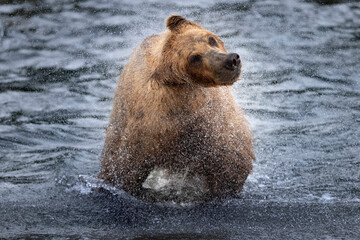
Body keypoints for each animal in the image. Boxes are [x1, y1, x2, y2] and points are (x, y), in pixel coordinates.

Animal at [100, 15, 255, 202]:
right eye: (195, 58)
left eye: (210, 39)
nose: (231, 60)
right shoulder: (151, 127)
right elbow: (125, 168)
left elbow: (230, 160)